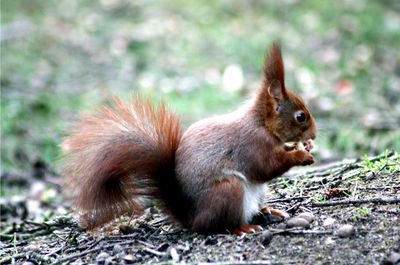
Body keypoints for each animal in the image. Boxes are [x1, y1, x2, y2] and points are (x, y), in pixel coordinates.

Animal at [61, 43, 316, 235]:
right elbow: (266, 167)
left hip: (256, 193)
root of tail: (192, 218)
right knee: (217, 226)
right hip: (229, 191)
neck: (262, 124)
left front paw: (300, 147)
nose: (314, 134)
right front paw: (302, 155)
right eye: (300, 117)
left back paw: (267, 212)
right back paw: (243, 228)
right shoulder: (252, 145)